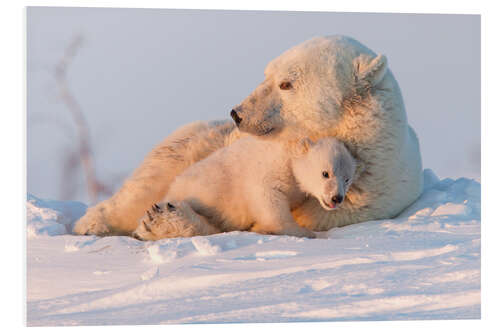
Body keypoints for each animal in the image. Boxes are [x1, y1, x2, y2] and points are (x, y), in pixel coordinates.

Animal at [73, 35, 422, 235]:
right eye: (267, 73)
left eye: (286, 83)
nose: (238, 113)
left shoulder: (366, 198)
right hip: (201, 140)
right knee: (152, 176)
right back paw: (95, 223)